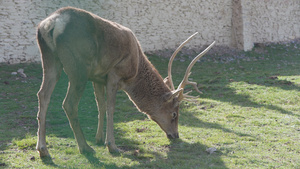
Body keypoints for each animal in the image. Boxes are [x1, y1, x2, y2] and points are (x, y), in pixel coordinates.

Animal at [35, 6, 213, 157]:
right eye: (174, 113)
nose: (175, 135)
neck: (135, 74)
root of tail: (51, 24)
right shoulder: (114, 73)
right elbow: (110, 108)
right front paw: (112, 146)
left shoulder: (97, 77)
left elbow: (100, 105)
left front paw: (99, 138)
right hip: (78, 68)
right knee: (69, 104)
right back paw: (85, 147)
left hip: (50, 60)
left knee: (43, 94)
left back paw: (43, 149)